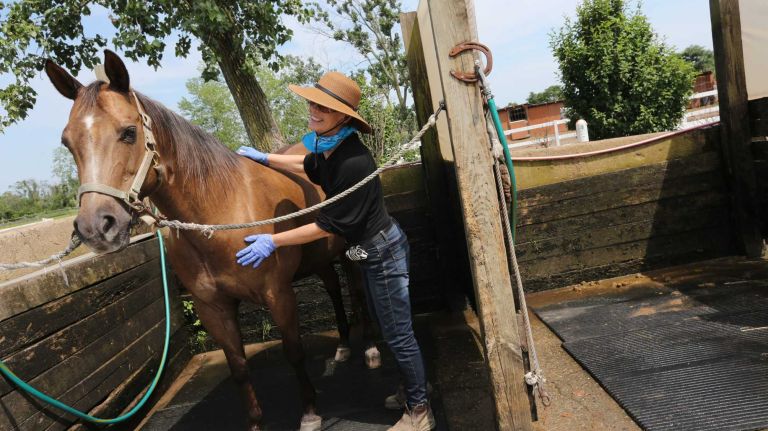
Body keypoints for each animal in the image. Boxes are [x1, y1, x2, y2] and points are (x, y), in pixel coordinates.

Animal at [44, 49, 381, 431]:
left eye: (129, 133)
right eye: (67, 142)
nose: (95, 227)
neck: (220, 212)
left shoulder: (278, 294)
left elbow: (294, 352)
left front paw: (310, 413)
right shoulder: (214, 309)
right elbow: (238, 369)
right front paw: (255, 423)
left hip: (348, 250)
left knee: (356, 291)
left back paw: (370, 348)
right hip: (320, 257)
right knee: (335, 291)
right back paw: (343, 345)